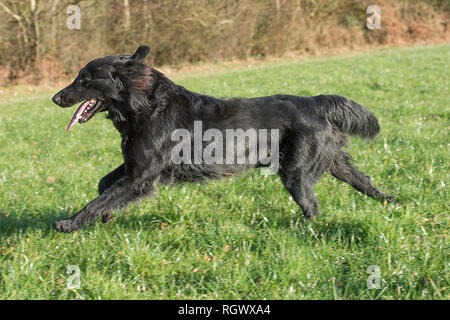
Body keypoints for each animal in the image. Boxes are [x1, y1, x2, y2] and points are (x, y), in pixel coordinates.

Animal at [50, 45, 394, 231]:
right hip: (333, 162)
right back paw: (392, 202)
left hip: (296, 172)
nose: (55, 98)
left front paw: (70, 223)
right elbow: (104, 186)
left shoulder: (141, 175)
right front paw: (106, 216)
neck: (145, 106)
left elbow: (100, 199)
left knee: (312, 205)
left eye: (84, 78)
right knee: (364, 181)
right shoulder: (134, 166)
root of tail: (316, 101)